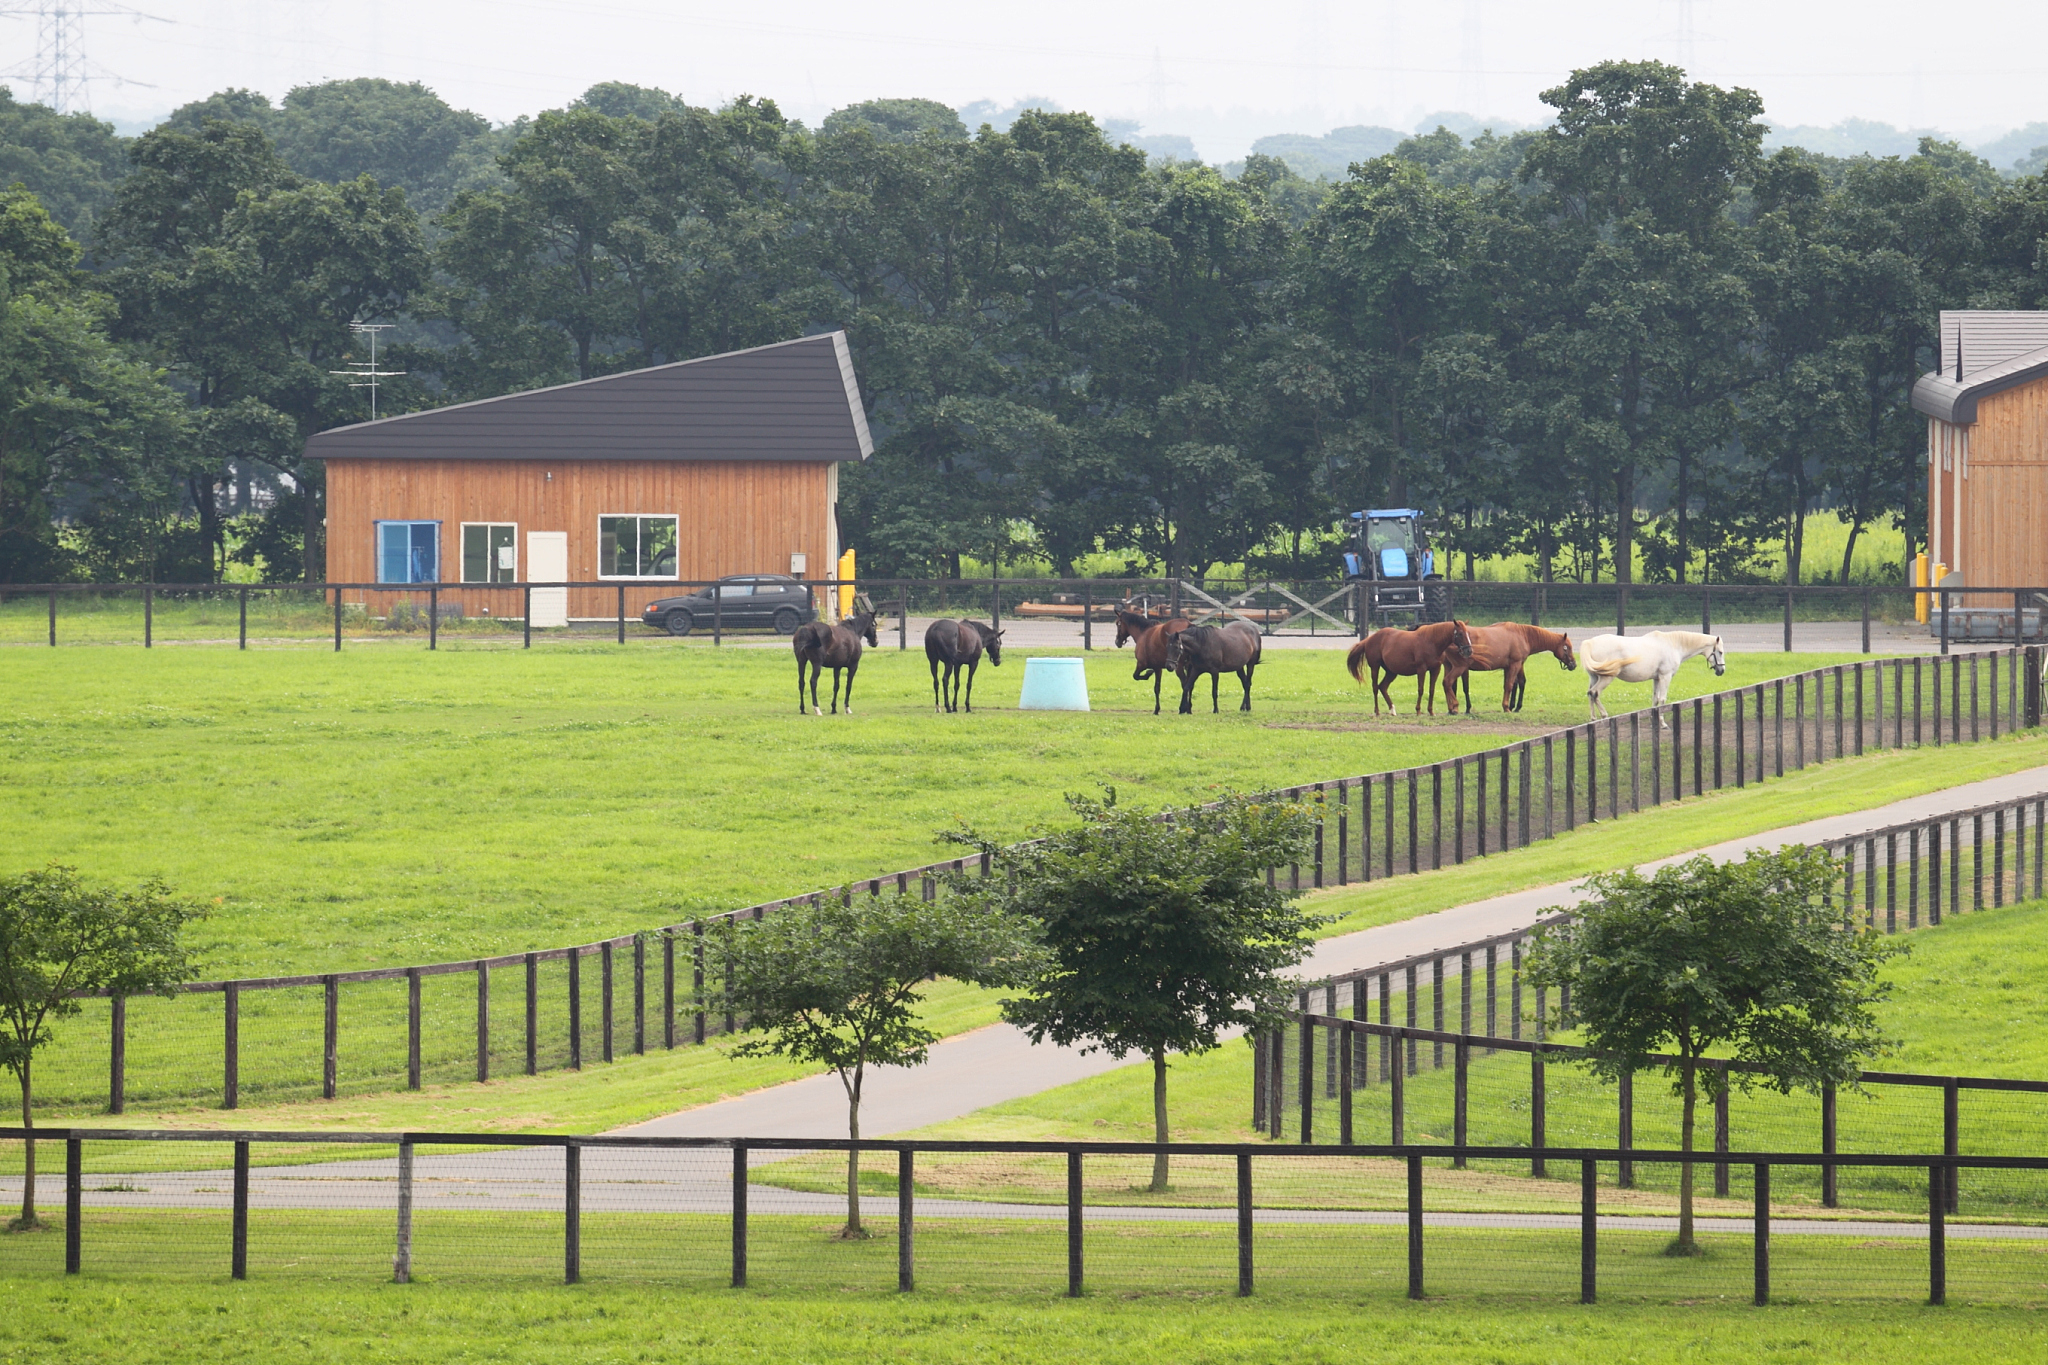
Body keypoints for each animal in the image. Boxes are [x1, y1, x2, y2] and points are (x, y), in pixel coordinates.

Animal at [1343, 626, 1474, 720]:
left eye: (1468, 633)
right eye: (1460, 633)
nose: (1469, 650)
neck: (1431, 641)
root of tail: (1368, 639)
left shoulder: (1435, 670)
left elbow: (1431, 690)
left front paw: (1431, 711)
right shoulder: (1421, 669)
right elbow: (1421, 690)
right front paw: (1418, 710)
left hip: (1391, 672)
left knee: (1383, 687)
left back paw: (1392, 710)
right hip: (1375, 667)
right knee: (1375, 687)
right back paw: (1377, 711)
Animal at [1441, 626, 1581, 716]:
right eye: (1566, 647)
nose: (1573, 664)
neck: (1522, 635)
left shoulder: (1513, 666)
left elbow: (1518, 683)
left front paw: (1515, 706)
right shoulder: (1515, 664)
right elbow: (1510, 685)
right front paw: (1507, 707)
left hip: (1449, 667)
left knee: (1449, 686)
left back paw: (1451, 708)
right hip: (1459, 668)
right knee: (1447, 682)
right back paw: (1455, 707)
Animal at [1572, 626, 1720, 724]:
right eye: (1719, 652)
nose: (1721, 670)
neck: (1673, 645)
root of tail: (1590, 642)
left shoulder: (1656, 678)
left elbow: (1655, 699)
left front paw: (1653, 718)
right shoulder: (1665, 677)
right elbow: (1662, 699)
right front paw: (1662, 723)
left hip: (1594, 677)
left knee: (1590, 693)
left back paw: (1593, 719)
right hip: (1606, 678)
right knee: (1595, 692)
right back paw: (1604, 715)